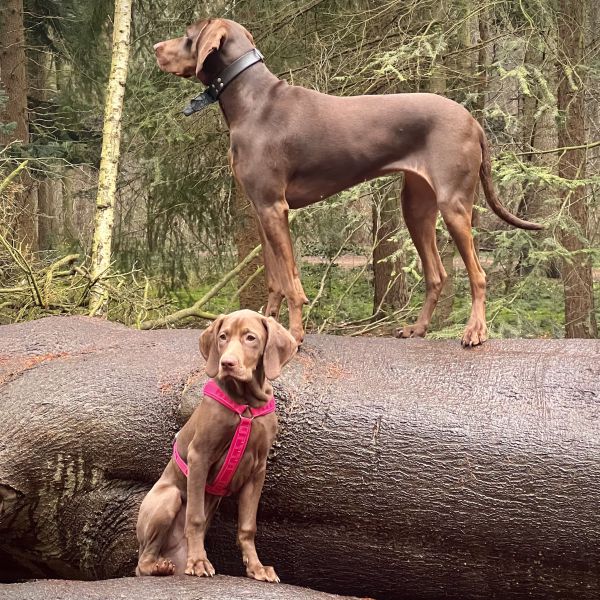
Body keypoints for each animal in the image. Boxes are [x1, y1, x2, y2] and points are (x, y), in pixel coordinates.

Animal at [135, 310, 296, 580]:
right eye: (223, 337)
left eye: (250, 338)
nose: (227, 363)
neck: (246, 404)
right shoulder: (199, 456)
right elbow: (195, 517)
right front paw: (199, 562)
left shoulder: (258, 469)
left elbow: (248, 526)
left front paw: (256, 567)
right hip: (167, 499)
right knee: (142, 562)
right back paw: (160, 565)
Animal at [152, 18, 540, 346]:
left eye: (188, 35)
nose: (155, 47)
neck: (253, 101)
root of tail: (472, 121)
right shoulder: (261, 210)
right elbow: (275, 280)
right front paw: (267, 326)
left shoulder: (274, 208)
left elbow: (291, 281)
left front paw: (295, 334)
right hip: (417, 208)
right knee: (437, 274)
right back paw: (417, 328)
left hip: (454, 205)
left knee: (478, 274)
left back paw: (476, 331)